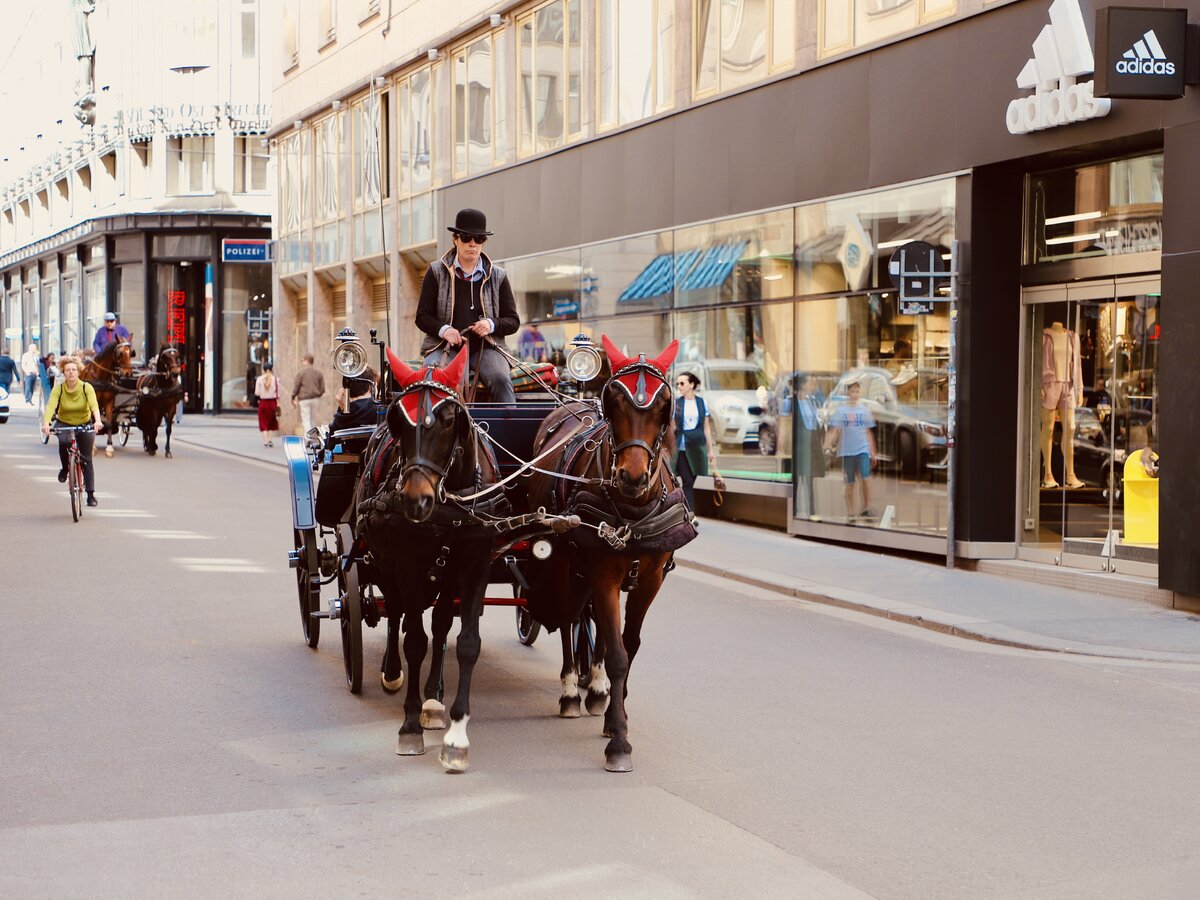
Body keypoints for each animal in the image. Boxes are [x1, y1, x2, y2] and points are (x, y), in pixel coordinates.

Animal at [352, 348, 508, 777]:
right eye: (398, 419)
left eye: (451, 418)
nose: (415, 500)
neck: (449, 503)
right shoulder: (405, 565)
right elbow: (414, 640)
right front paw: (409, 726)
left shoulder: (475, 567)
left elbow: (465, 642)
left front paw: (456, 735)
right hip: (386, 563)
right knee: (395, 614)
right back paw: (392, 673)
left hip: (445, 575)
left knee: (439, 624)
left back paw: (433, 699)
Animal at [525, 338, 696, 777]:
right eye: (614, 402)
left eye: (664, 405)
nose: (632, 477)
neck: (633, 509)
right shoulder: (601, 574)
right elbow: (617, 653)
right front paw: (619, 741)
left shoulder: (649, 580)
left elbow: (626, 643)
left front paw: (612, 711)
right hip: (568, 564)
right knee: (569, 617)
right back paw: (572, 690)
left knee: (593, 624)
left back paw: (597, 689)